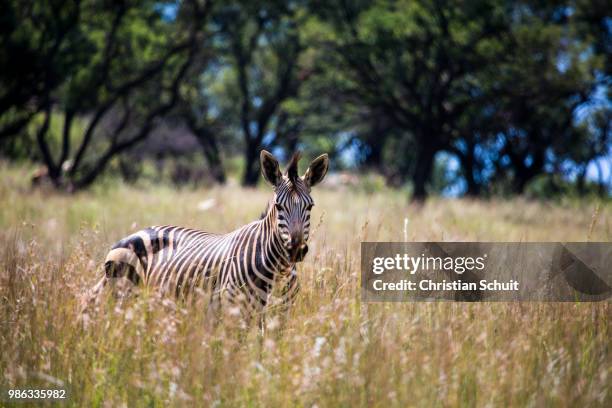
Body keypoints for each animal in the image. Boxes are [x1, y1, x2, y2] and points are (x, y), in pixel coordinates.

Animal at [85, 151, 330, 326]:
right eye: (279, 207)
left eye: (310, 207)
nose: (296, 250)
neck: (279, 271)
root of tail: (135, 233)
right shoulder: (235, 312)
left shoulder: (280, 314)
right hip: (123, 295)